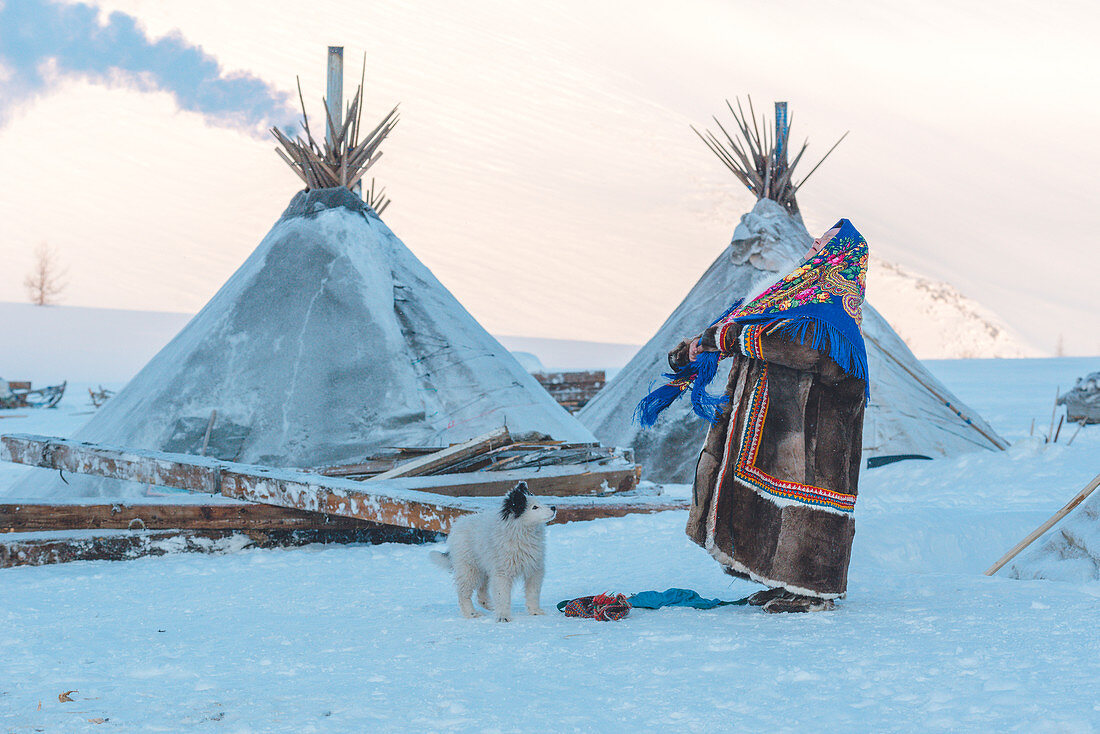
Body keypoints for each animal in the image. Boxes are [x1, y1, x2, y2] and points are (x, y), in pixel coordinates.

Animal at [426, 484, 554, 625]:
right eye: (534, 507)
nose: (554, 508)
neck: (521, 532)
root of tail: (456, 527)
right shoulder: (502, 573)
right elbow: (502, 595)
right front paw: (503, 617)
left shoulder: (534, 568)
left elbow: (533, 592)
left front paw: (535, 611)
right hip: (469, 569)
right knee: (463, 593)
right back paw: (471, 613)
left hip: (484, 568)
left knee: (481, 592)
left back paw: (490, 606)